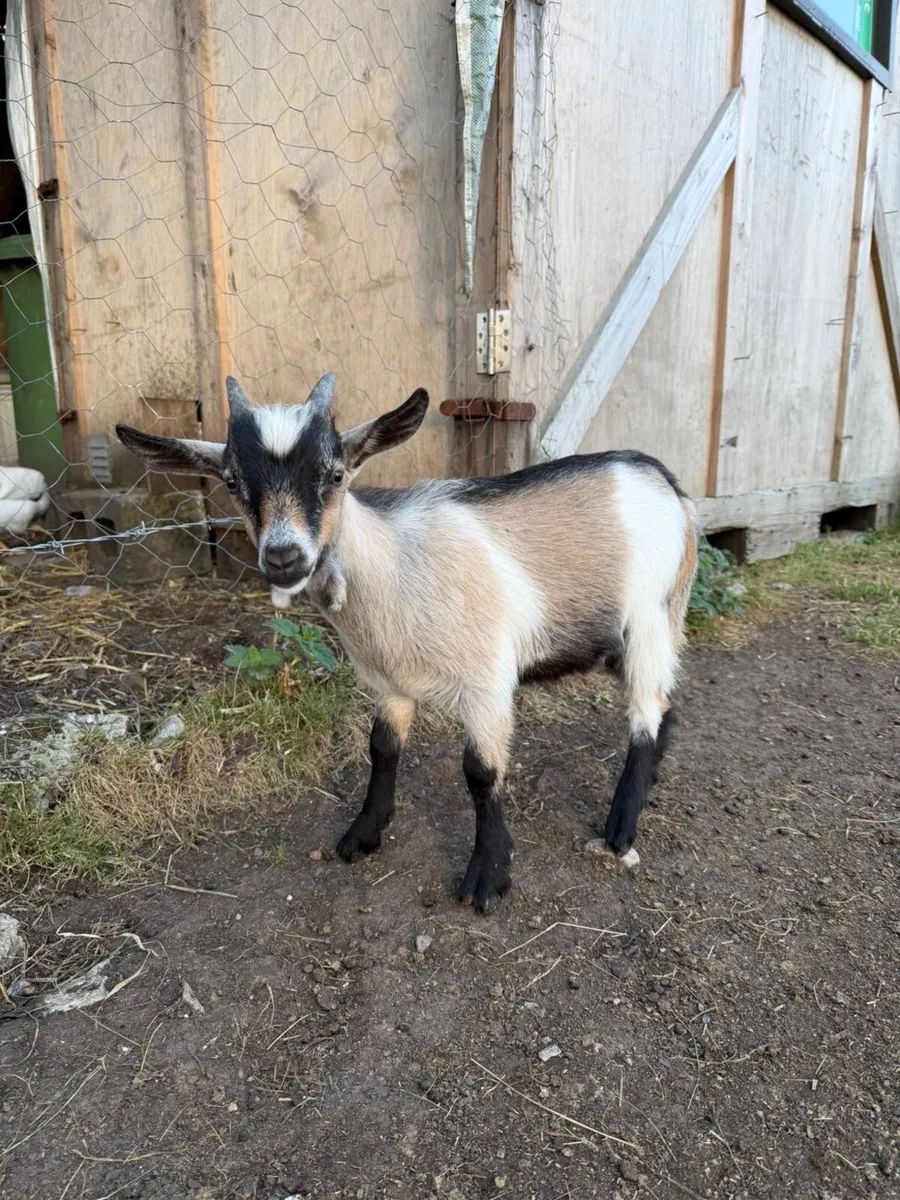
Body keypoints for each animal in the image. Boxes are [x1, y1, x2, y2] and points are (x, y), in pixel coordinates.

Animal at [117, 375, 698, 912]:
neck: (395, 566)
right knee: (664, 704)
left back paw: (620, 828)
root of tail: (665, 478)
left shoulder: (487, 681)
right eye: (232, 482)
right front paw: (363, 833)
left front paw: (488, 875)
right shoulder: (387, 682)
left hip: (653, 615)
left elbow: (481, 773)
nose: (283, 557)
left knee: (644, 712)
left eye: (335, 474)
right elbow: (381, 748)